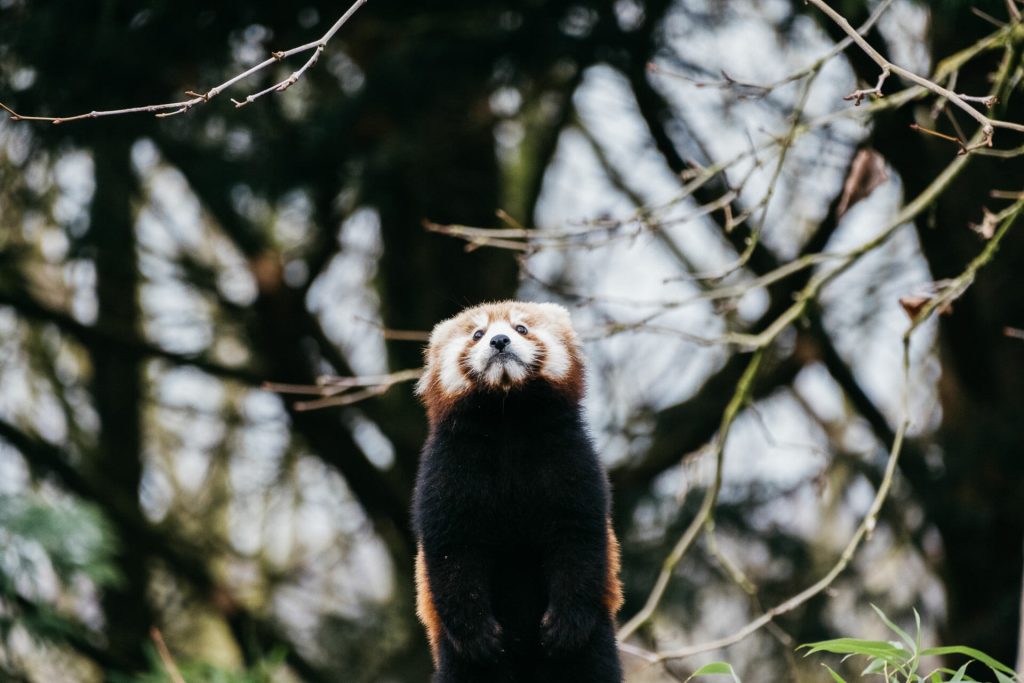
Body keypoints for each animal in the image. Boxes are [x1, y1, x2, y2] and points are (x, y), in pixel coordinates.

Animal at [412, 300, 623, 683]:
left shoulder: (573, 462)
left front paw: (564, 625)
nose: (499, 341)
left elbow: (580, 542)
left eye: (521, 328)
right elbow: (451, 553)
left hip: (597, 635)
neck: (507, 417)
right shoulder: (446, 472)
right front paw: (478, 634)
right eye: (477, 333)